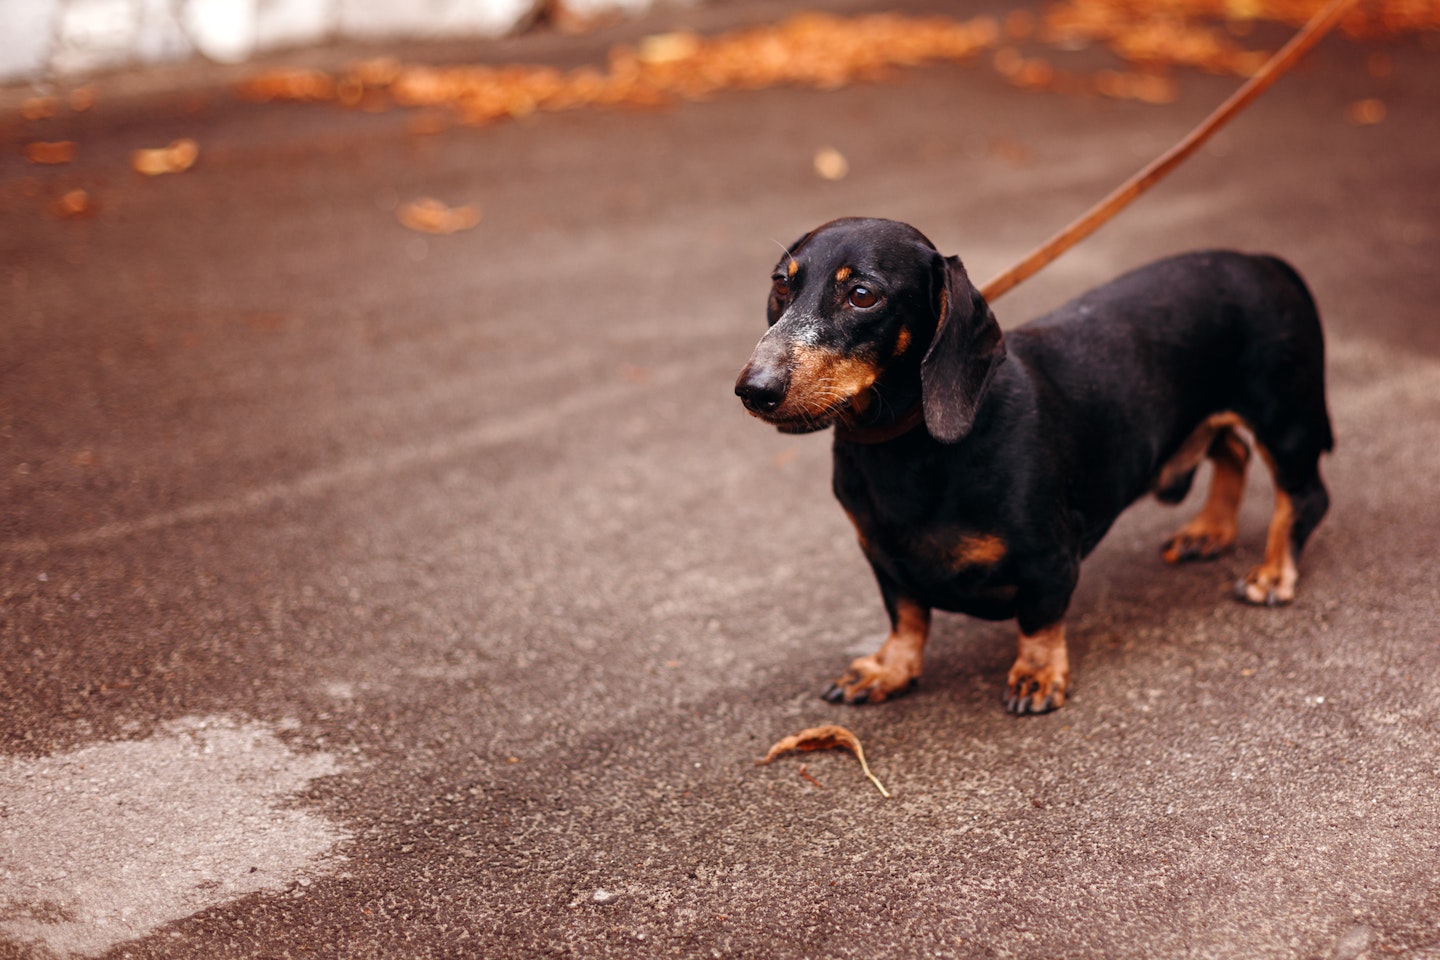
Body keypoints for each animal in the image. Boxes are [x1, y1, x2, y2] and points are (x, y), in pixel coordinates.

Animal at [737, 217, 1330, 713]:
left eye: (862, 295)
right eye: (782, 284)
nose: (753, 389)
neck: (907, 450)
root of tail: (1263, 260)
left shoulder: (1049, 556)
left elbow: (1039, 618)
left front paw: (1038, 675)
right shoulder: (882, 556)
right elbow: (906, 617)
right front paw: (888, 669)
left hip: (1284, 419)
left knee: (1302, 495)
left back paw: (1273, 573)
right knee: (1232, 450)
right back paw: (1210, 531)